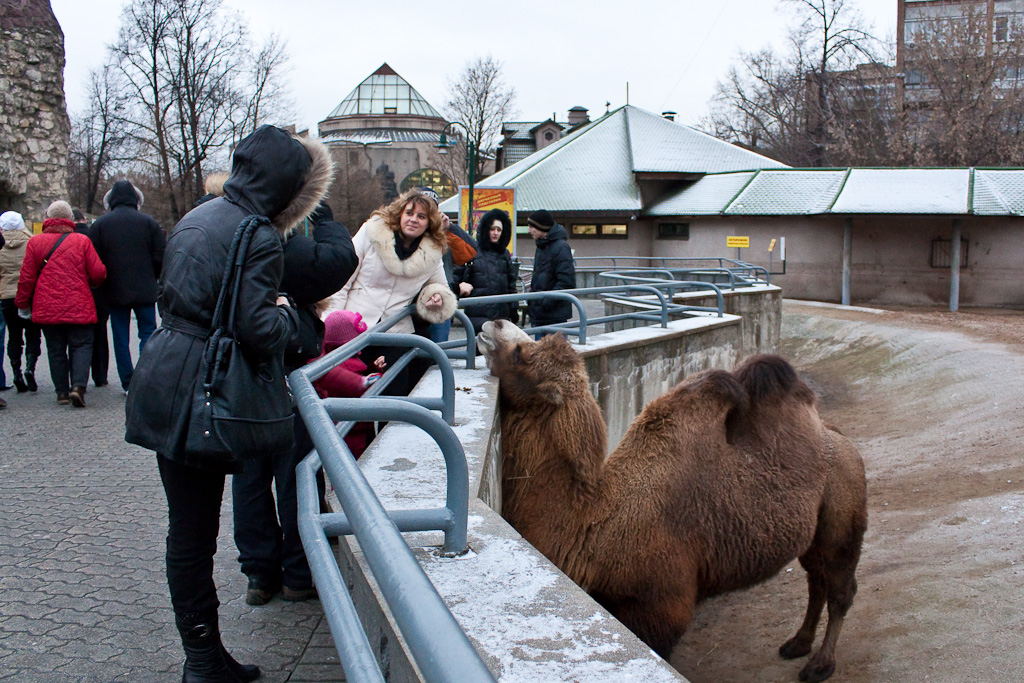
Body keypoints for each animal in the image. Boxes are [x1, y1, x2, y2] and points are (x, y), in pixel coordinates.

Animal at [477, 321, 864, 683]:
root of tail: (837, 437)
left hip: (844, 512)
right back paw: (797, 643)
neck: (596, 525)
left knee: (840, 589)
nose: (492, 324)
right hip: (814, 532)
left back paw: (820, 664)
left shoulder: (662, 608)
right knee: (816, 581)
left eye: (520, 355)